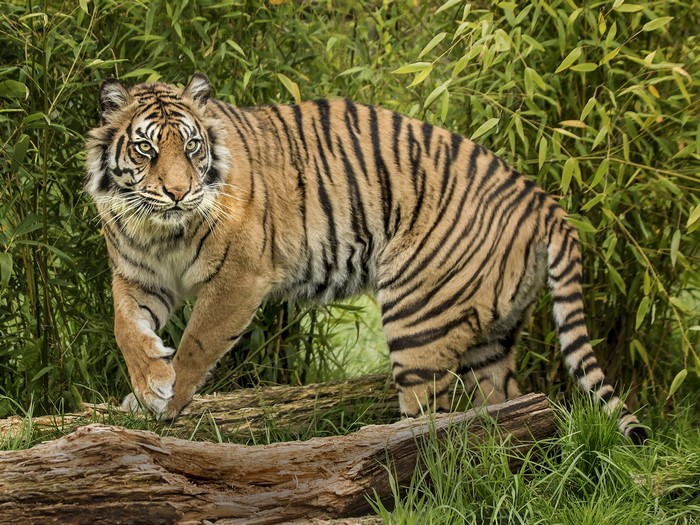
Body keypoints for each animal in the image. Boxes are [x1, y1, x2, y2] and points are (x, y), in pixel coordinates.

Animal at [85, 73, 646, 444]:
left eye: (192, 147)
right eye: (145, 149)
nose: (178, 193)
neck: (161, 231)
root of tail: (545, 200)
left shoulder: (239, 277)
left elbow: (198, 342)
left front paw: (165, 401)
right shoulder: (138, 275)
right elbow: (125, 327)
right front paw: (147, 386)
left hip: (418, 316)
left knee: (430, 422)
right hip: (491, 337)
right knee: (502, 410)